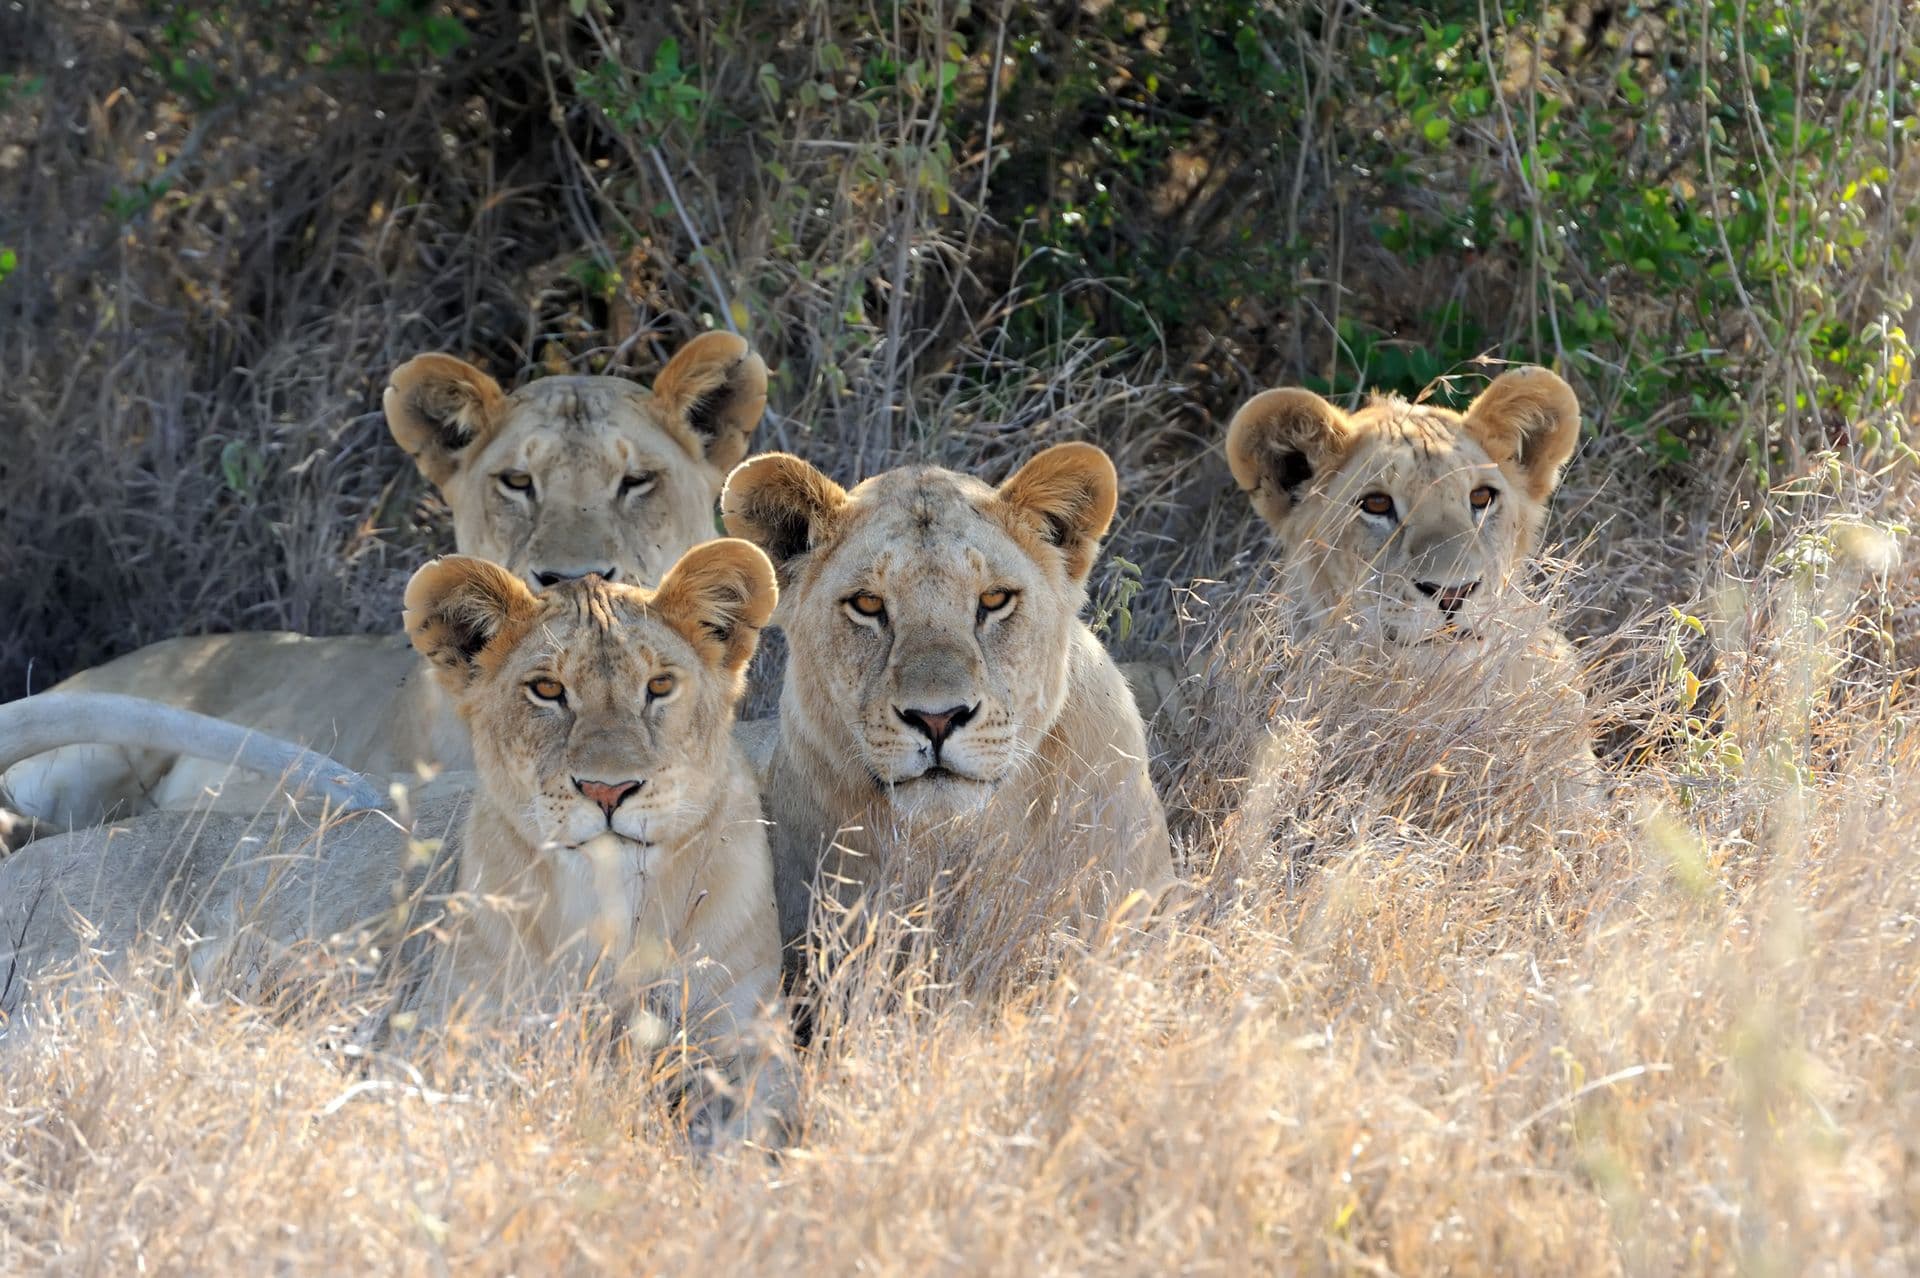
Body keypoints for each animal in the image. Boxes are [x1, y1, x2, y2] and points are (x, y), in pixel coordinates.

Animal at [0, 541, 793, 1143]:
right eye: (546, 691)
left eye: (659, 688)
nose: (606, 791)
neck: (614, 902)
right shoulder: (437, 1042)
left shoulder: (751, 1048)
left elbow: (761, 1136)